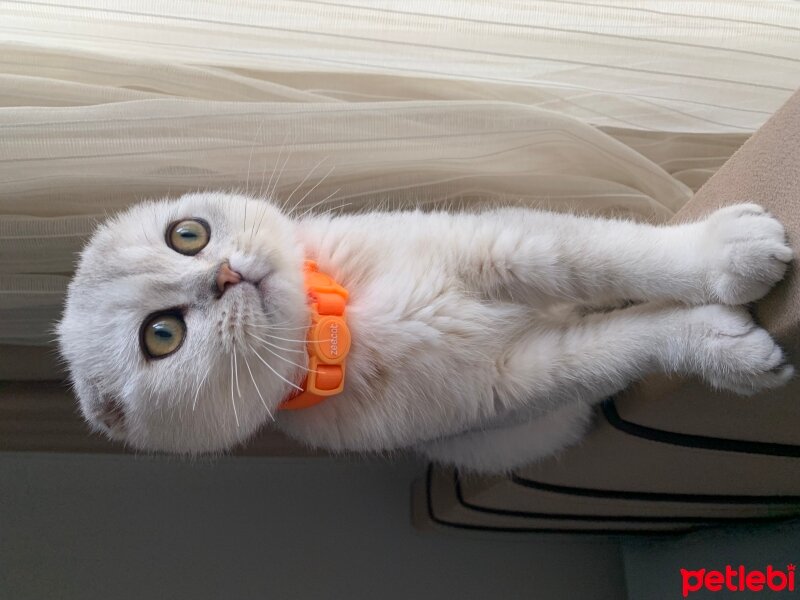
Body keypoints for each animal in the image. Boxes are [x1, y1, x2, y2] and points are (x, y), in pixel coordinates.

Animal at [57, 195, 792, 472]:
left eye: (187, 234)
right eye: (162, 335)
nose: (226, 275)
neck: (349, 326)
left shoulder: (508, 245)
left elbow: (611, 258)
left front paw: (725, 253)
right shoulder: (514, 382)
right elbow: (632, 340)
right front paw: (723, 345)